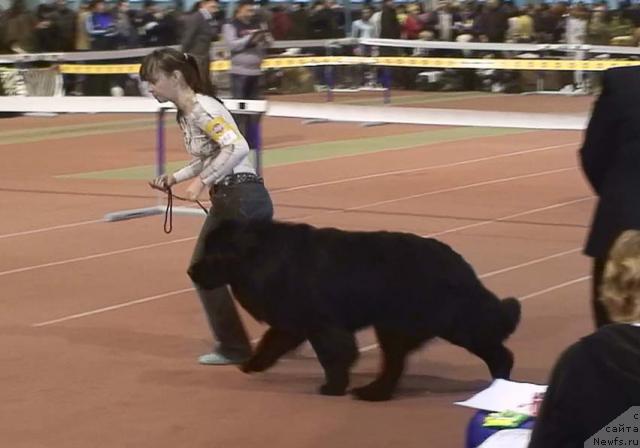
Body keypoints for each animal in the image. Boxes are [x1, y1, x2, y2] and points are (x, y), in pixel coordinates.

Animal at [189, 219, 520, 400]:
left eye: (213, 254)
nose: (191, 271)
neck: (261, 256)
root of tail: (459, 264)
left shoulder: (322, 324)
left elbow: (333, 355)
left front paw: (333, 387)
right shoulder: (294, 320)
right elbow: (273, 341)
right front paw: (253, 364)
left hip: (445, 321)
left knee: (496, 350)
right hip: (401, 325)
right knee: (396, 364)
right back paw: (374, 392)